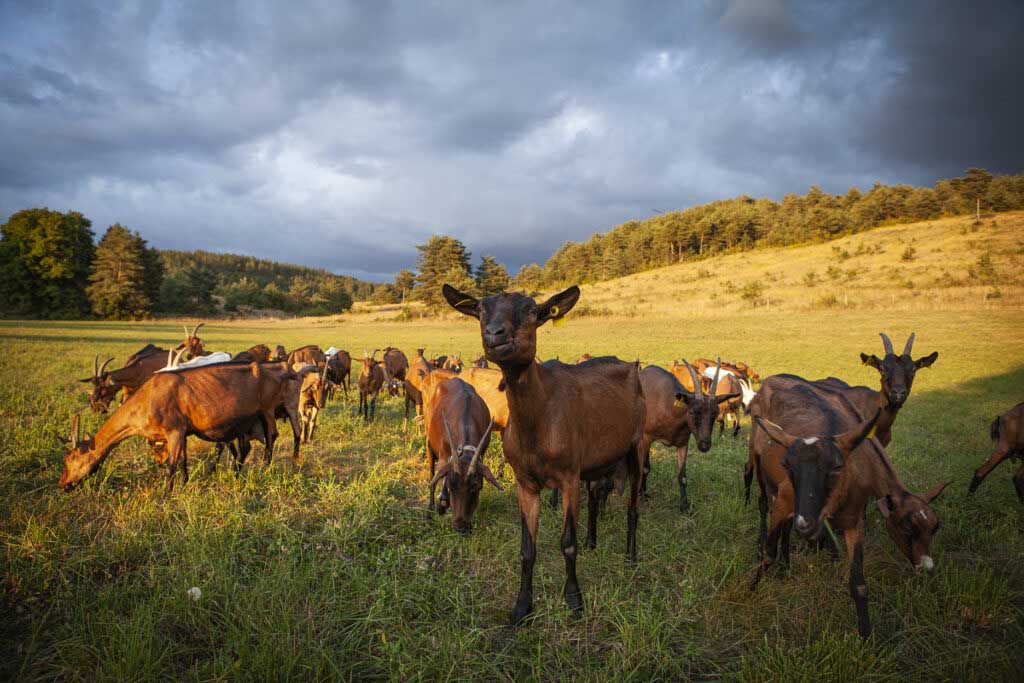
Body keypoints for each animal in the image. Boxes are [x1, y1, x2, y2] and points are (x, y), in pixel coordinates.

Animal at [61, 362, 296, 491]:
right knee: (246, 446)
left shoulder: (174, 429)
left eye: (71, 460)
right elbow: (182, 460)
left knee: (272, 435)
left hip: (267, 410)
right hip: (245, 421)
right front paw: (184, 483)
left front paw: (166, 495)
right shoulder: (182, 431)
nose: (63, 484)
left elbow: (171, 465)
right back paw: (237, 474)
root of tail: (279, 371)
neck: (146, 398)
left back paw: (265, 469)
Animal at [425, 376, 501, 532]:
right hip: (429, 442)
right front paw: (442, 504)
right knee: (432, 475)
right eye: (451, 486)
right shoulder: (444, 453)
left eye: (477, 486)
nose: (461, 527)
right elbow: (440, 475)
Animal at [444, 282, 643, 626]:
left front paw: (575, 600)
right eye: (481, 308)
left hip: (638, 443)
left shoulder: (568, 477)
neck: (538, 422)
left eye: (532, 310)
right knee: (596, 496)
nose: (495, 335)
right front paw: (522, 606)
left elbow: (567, 543)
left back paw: (630, 557)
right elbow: (527, 548)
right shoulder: (526, 482)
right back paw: (593, 541)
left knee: (633, 506)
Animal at [638, 362, 737, 511]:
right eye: (692, 412)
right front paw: (642, 495)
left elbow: (682, 476)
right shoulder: (646, 437)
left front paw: (684, 505)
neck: (668, 405)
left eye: (715, 412)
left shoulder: (683, 443)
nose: (704, 445)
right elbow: (644, 468)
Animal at [749, 370, 946, 638]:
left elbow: (859, 584)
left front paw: (865, 635)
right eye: (905, 528)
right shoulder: (785, 500)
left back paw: (786, 564)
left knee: (787, 528)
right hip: (758, 464)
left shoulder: (853, 521)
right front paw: (751, 589)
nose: (926, 567)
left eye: (934, 528)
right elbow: (768, 554)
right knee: (763, 504)